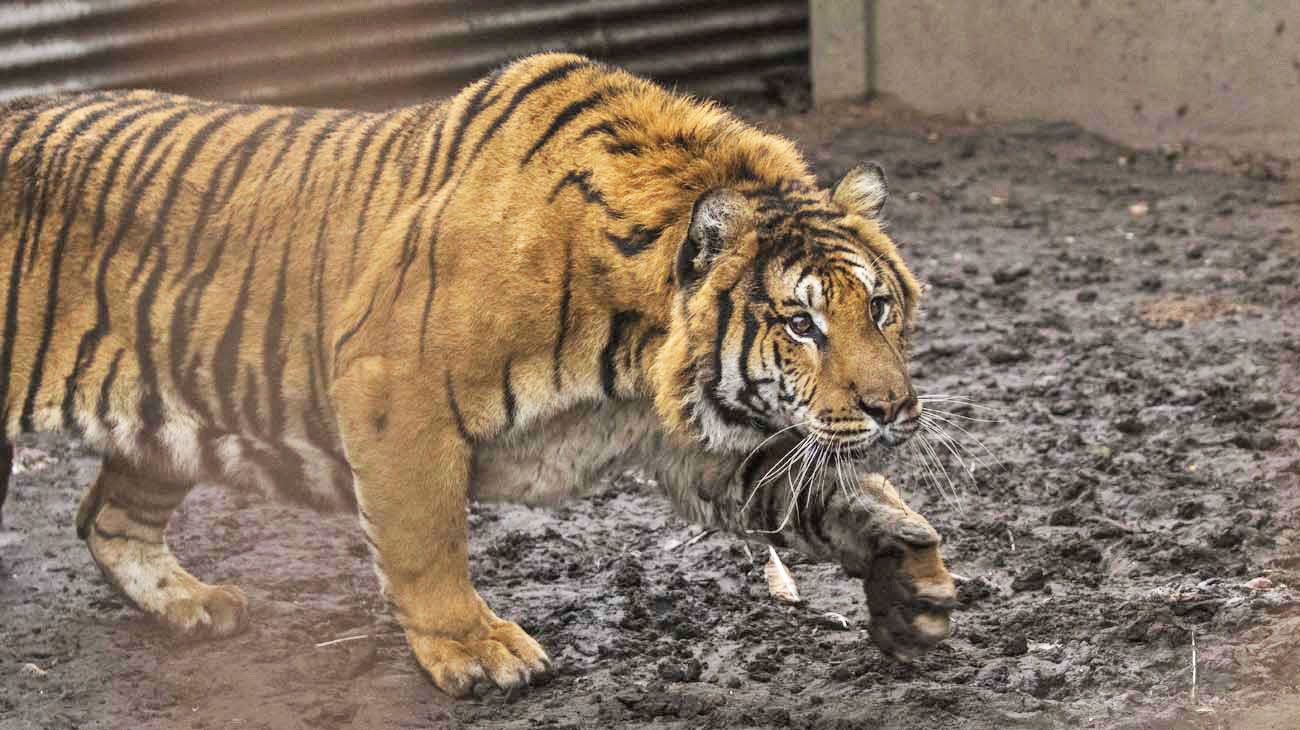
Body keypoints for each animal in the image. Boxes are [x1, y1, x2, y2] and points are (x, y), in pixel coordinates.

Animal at [0, 52, 957, 697]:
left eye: (879, 308)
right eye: (800, 324)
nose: (893, 409)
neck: (635, 356)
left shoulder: (696, 449)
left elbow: (827, 494)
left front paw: (907, 572)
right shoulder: (394, 393)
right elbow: (426, 542)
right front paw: (475, 651)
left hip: (164, 422)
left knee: (105, 519)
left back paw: (196, 606)